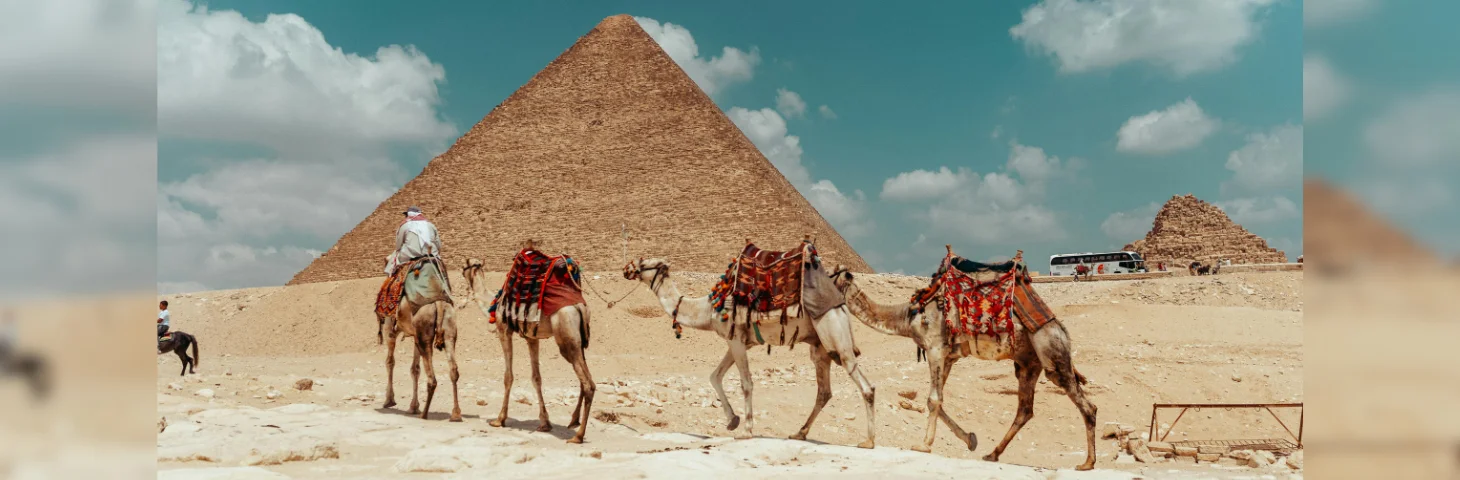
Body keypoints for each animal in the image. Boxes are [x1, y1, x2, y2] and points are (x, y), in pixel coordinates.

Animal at [381, 259, 462, 422]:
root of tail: (439, 303)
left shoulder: (390, 328)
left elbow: (390, 362)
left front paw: (389, 400)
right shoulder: (414, 334)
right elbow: (415, 369)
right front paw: (413, 406)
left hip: (423, 331)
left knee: (432, 379)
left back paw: (424, 414)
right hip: (448, 330)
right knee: (453, 370)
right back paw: (456, 414)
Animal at [460, 250, 596, 444]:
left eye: (465, 265)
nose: (460, 271)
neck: (493, 304)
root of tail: (579, 307)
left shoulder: (504, 330)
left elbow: (508, 377)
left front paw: (499, 419)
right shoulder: (532, 338)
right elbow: (536, 378)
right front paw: (545, 423)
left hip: (566, 338)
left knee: (588, 384)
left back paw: (578, 436)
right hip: (579, 340)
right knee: (585, 379)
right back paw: (573, 421)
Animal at [622, 255, 879, 448]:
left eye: (644, 262)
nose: (626, 268)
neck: (707, 309)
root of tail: (841, 304)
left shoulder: (735, 339)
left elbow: (746, 383)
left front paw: (746, 430)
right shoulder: (738, 341)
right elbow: (715, 376)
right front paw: (733, 421)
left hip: (835, 336)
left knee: (866, 385)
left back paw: (868, 441)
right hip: (820, 348)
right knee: (824, 392)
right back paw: (799, 433)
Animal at [827, 248, 1098, 471]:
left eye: (828, 272)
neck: (910, 314)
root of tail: (1060, 329)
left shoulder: (935, 348)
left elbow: (933, 400)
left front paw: (924, 445)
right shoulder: (948, 356)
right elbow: (937, 401)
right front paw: (970, 440)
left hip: (1051, 351)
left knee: (1086, 404)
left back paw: (1087, 463)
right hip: (1028, 364)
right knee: (1025, 409)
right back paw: (992, 454)